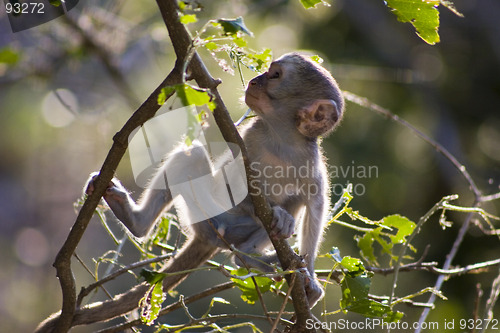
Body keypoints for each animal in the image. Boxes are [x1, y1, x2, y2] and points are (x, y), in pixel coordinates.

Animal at [86, 52, 344, 306]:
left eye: (275, 75)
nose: (254, 81)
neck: (281, 141)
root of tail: (208, 238)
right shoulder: (250, 137)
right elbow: (233, 183)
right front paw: (271, 212)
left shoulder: (310, 161)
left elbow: (316, 202)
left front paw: (310, 276)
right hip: (203, 214)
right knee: (194, 154)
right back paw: (136, 221)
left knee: (294, 202)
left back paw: (248, 254)